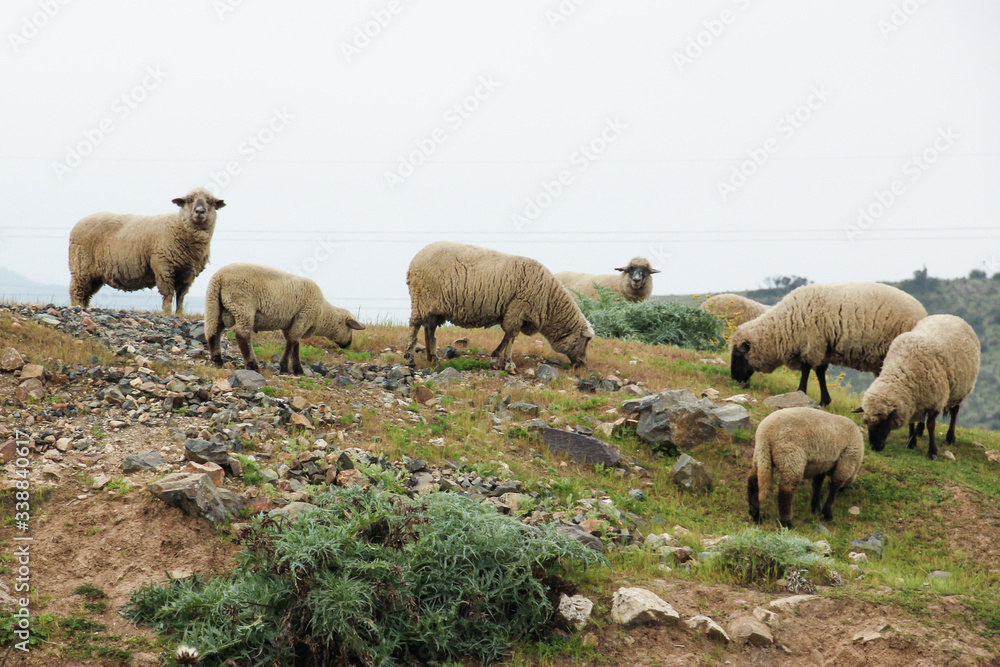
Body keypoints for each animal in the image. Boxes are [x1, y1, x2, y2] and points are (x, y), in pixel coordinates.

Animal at [69, 188, 224, 315]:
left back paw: (85, 307)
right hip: (81, 267)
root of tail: (78, 224)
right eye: (190, 200)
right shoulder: (164, 267)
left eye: (210, 202)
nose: (199, 211)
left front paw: (179, 313)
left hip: (94, 275)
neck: (179, 227)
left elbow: (181, 296)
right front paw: (167, 313)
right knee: (76, 291)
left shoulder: (188, 274)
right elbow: (168, 295)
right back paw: (77, 307)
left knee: (86, 295)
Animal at [204, 263, 365, 375]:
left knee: (213, 331)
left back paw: (217, 360)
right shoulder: (304, 316)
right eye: (350, 328)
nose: (348, 345)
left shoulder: (292, 322)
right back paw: (252, 365)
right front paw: (285, 368)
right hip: (242, 305)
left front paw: (297, 369)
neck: (323, 314)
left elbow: (295, 344)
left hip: (217, 305)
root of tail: (218, 277)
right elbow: (292, 342)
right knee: (242, 335)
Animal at [405, 241, 594, 372]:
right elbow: (511, 337)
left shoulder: (513, 313)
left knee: (429, 329)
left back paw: (432, 357)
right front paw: (508, 364)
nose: (583, 363)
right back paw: (409, 358)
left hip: (433, 306)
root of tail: (415, 260)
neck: (549, 301)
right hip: (422, 298)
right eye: (586, 341)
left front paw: (497, 360)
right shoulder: (518, 309)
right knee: (415, 326)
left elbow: (507, 337)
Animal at [730, 282, 926, 407]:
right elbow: (820, 372)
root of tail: (922, 312)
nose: (733, 378)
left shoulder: (812, 343)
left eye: (738, 354)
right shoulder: (822, 348)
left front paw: (801, 392)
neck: (783, 324)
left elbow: (807, 369)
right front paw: (825, 400)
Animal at [854, 314, 980, 460]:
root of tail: (951, 315)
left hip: (960, 389)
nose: (875, 447)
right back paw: (919, 430)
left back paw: (950, 438)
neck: (902, 369)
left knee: (954, 412)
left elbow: (931, 425)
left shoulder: (936, 400)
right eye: (867, 424)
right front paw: (911, 442)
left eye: (883, 423)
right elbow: (911, 422)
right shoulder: (911, 400)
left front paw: (932, 452)